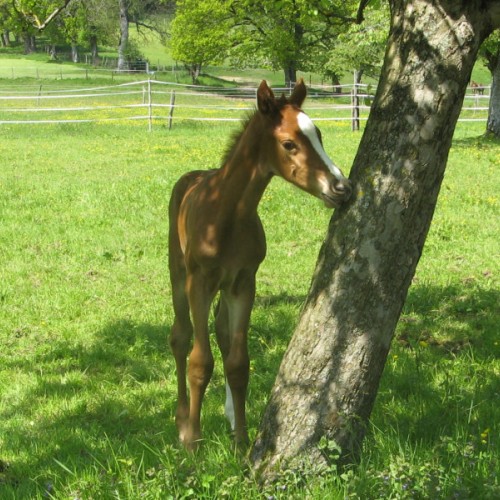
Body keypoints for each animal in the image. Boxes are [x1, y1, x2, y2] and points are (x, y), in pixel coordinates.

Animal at [168, 79, 352, 450]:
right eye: (289, 143)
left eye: (319, 135)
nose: (341, 188)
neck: (226, 213)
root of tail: (189, 177)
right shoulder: (200, 282)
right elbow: (199, 361)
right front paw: (192, 441)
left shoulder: (243, 282)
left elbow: (238, 362)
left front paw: (241, 441)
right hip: (178, 273)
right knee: (180, 337)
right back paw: (181, 420)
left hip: (224, 287)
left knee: (223, 334)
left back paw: (227, 414)